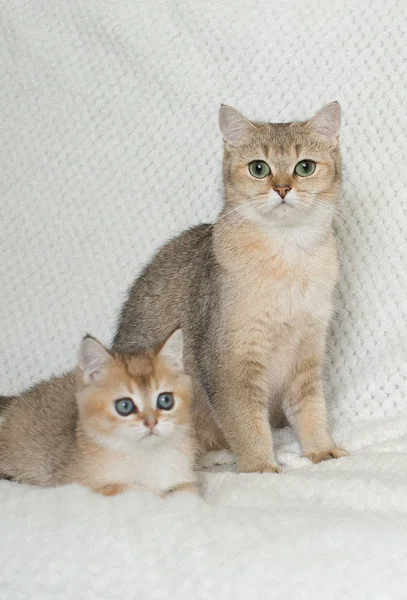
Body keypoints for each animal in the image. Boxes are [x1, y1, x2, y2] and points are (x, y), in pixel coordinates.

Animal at [0, 330, 198, 494]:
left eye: (166, 400)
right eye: (124, 406)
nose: (151, 422)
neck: (147, 456)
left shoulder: (186, 482)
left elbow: (185, 489)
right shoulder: (88, 485)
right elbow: (133, 489)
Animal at [113, 105, 350, 476]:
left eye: (305, 167)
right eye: (259, 168)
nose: (283, 189)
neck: (288, 257)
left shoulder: (306, 354)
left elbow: (311, 410)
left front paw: (321, 450)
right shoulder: (230, 361)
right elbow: (245, 422)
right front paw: (260, 467)